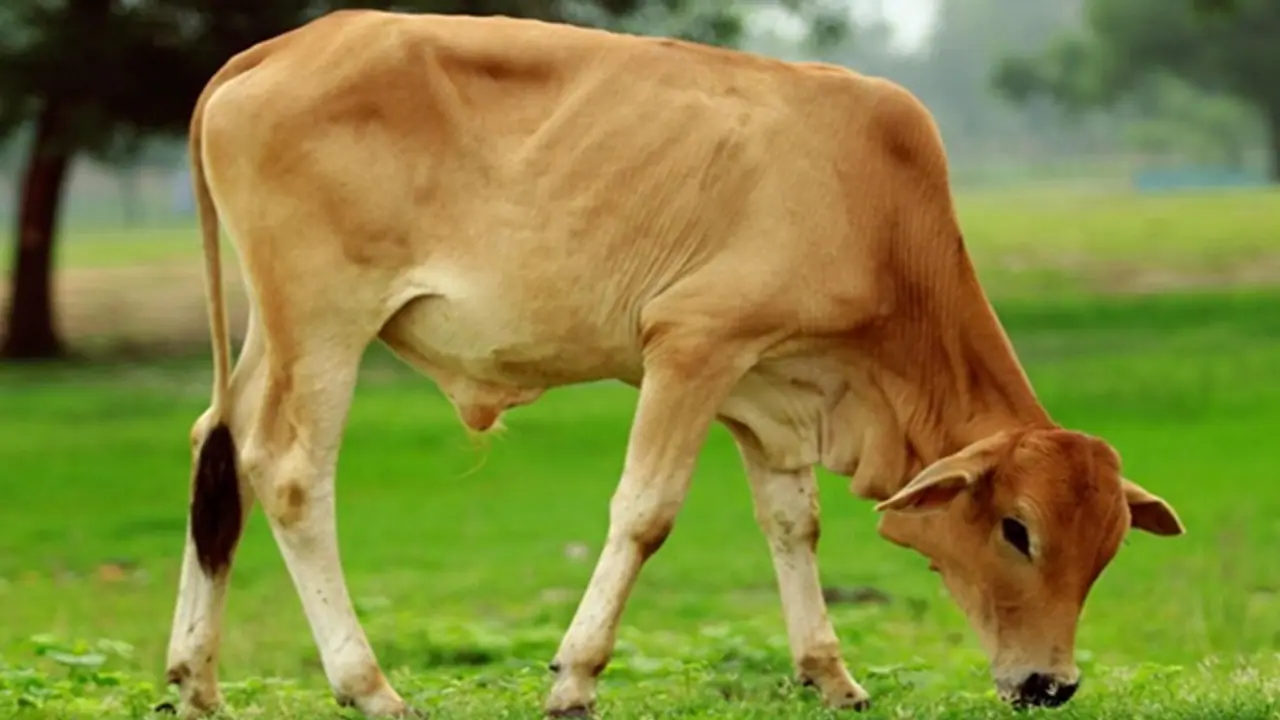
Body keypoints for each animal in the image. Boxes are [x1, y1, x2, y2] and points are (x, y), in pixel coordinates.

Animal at [164, 8, 1185, 719]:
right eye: (1017, 531)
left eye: (1106, 551)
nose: (1051, 683)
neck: (878, 215)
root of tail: (273, 51)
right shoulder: (693, 346)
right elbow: (645, 514)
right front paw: (573, 677)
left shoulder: (771, 394)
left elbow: (794, 525)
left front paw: (829, 673)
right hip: (325, 321)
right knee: (288, 473)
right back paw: (367, 683)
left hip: (272, 332)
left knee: (219, 448)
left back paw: (196, 680)